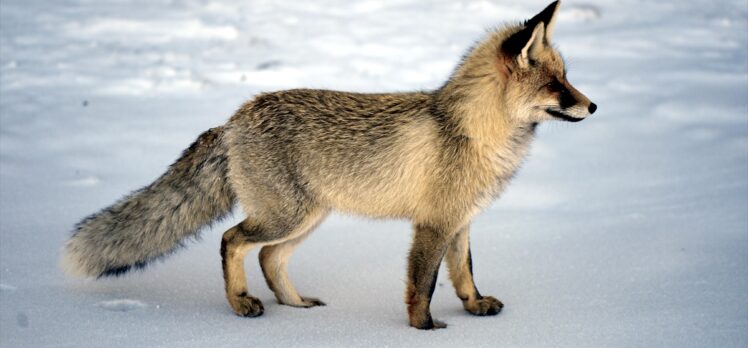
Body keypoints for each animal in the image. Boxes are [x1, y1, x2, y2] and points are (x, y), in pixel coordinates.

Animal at [61, 1, 596, 330]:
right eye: (557, 86)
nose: (593, 107)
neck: (470, 130)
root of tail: (233, 119)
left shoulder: (460, 221)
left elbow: (464, 273)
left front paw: (474, 307)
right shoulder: (432, 224)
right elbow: (421, 285)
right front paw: (425, 329)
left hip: (306, 219)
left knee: (268, 258)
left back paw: (295, 306)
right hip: (285, 217)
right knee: (232, 241)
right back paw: (241, 303)